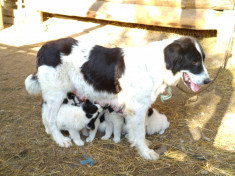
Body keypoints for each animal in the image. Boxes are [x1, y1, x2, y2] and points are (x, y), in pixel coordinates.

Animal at [24, 36, 210, 160]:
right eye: (194, 62)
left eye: (202, 60)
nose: (208, 81)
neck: (157, 65)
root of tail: (44, 46)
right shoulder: (138, 108)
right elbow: (140, 132)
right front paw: (145, 152)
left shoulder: (134, 109)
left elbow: (135, 131)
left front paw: (135, 142)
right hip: (56, 94)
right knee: (50, 118)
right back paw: (60, 139)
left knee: (46, 113)